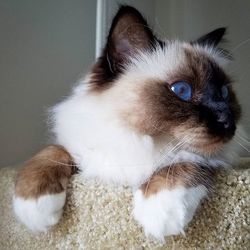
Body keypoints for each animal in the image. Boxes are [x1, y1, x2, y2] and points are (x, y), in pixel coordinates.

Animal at [12, 5, 241, 240]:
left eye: (224, 93)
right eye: (182, 90)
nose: (227, 120)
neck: (132, 137)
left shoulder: (210, 158)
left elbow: (187, 160)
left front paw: (160, 209)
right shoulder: (79, 151)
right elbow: (51, 151)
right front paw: (34, 206)